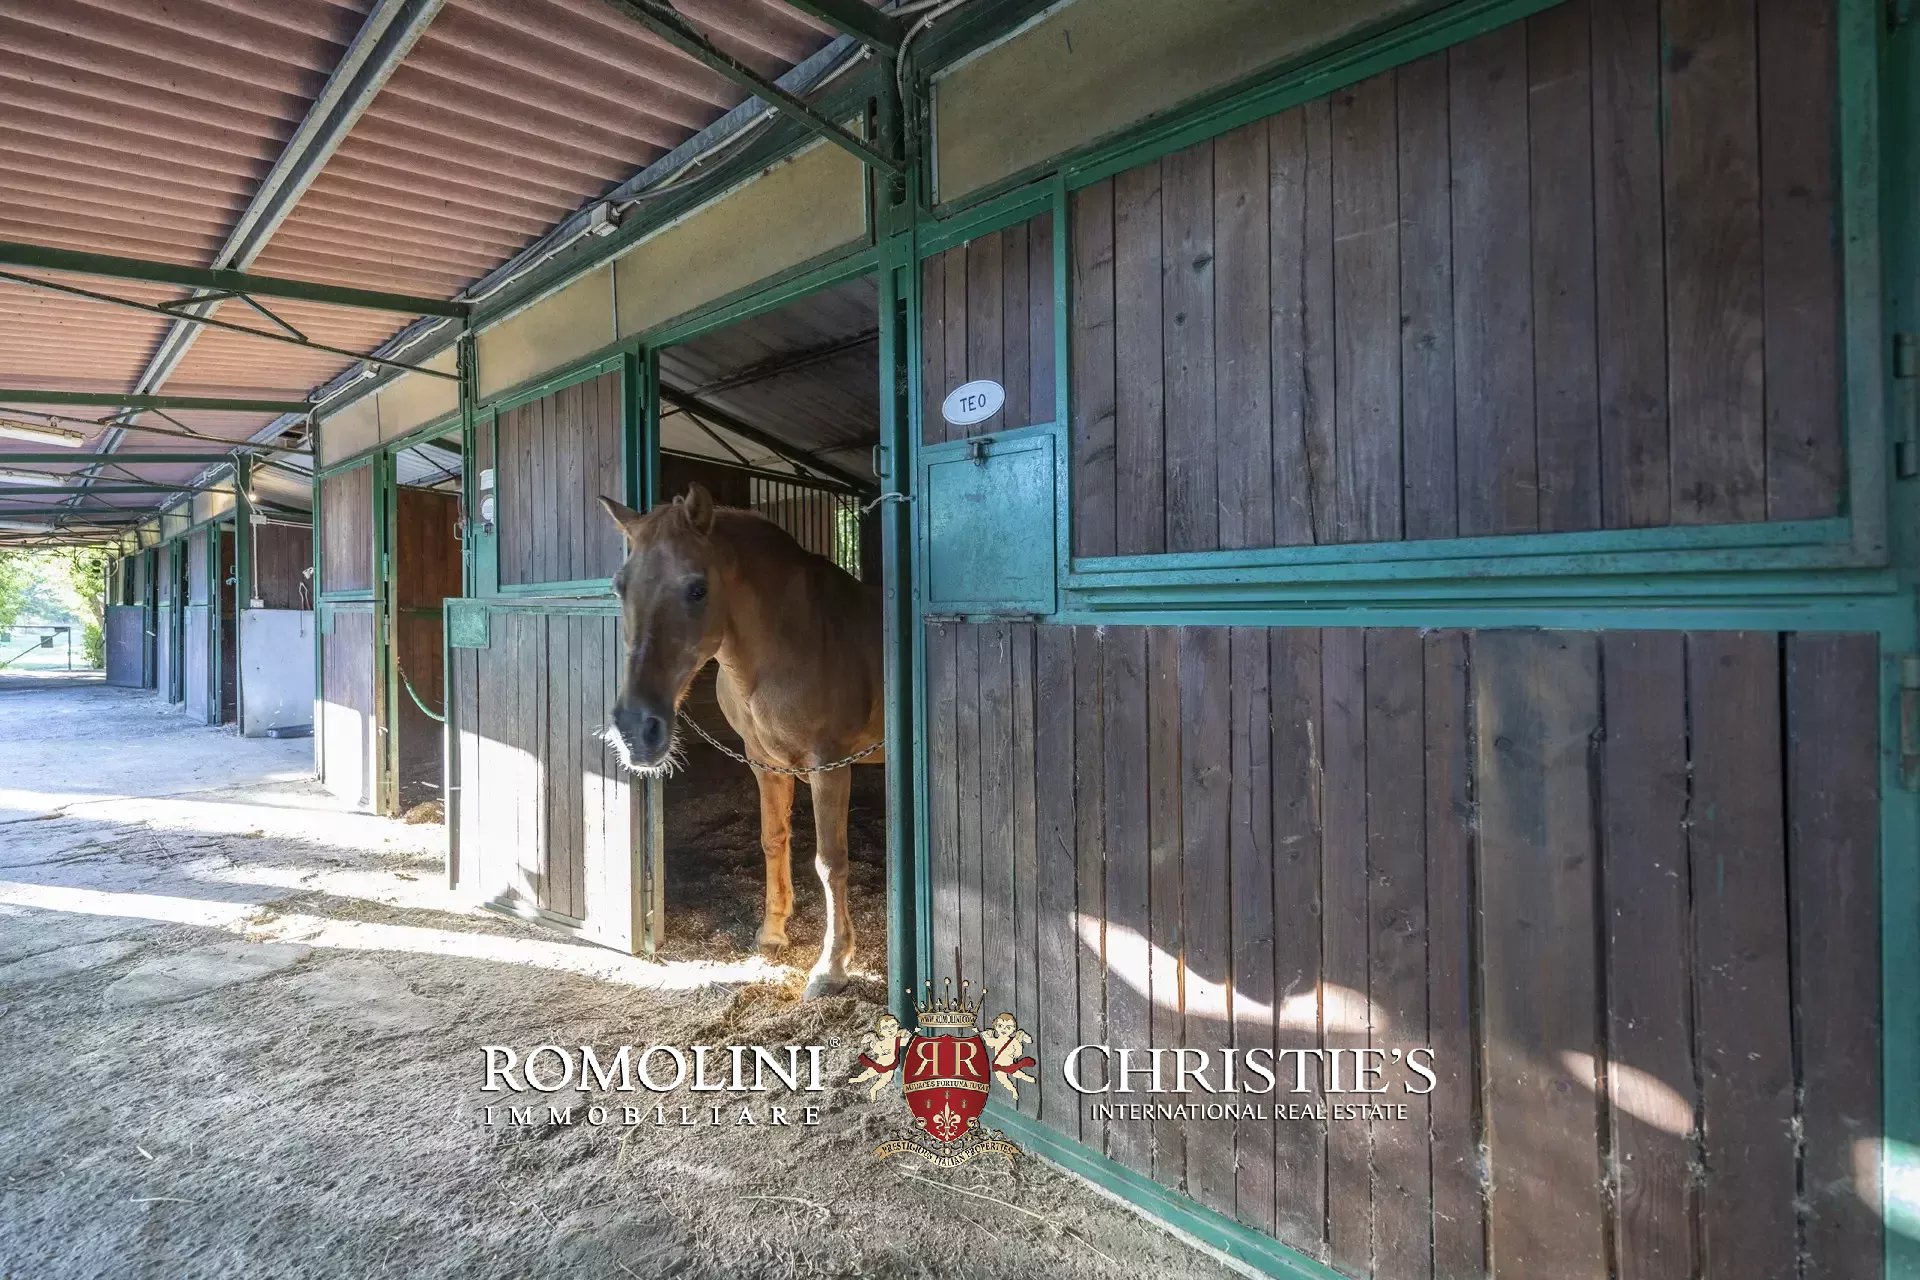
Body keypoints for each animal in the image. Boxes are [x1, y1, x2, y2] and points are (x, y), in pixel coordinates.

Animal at [596, 483, 883, 998]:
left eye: (697, 588)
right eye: (619, 587)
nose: (635, 729)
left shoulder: (829, 765)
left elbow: (831, 861)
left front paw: (830, 966)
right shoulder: (762, 760)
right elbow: (773, 839)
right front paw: (772, 933)